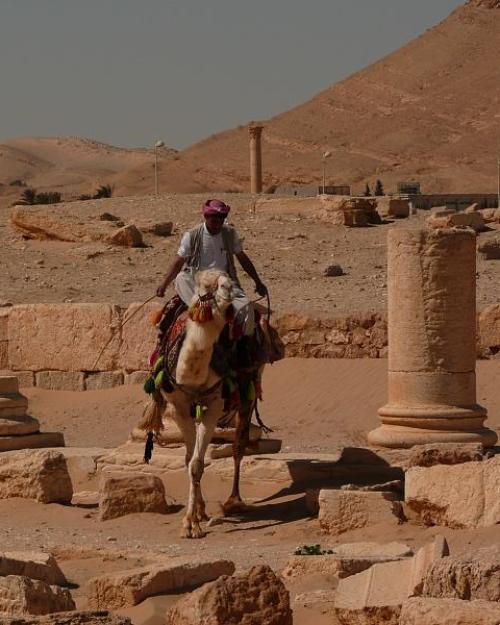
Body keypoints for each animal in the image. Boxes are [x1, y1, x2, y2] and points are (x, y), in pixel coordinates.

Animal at [137, 268, 262, 536]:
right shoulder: (178, 407)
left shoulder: (214, 406)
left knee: (239, 446)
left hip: (248, 392)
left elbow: (197, 463)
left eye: (228, 281)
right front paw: (194, 517)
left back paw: (234, 500)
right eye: (205, 287)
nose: (229, 289)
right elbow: (189, 461)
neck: (192, 375)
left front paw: (191, 523)